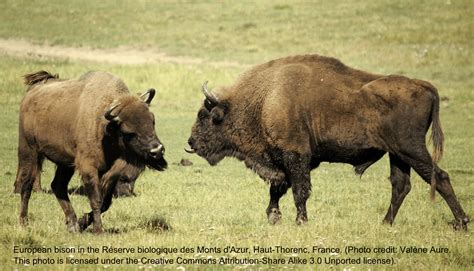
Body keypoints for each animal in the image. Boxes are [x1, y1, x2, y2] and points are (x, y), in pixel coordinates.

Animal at [14, 70, 168, 234]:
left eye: (152, 120)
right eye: (129, 132)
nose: (157, 150)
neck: (106, 126)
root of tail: (30, 94)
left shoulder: (110, 173)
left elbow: (106, 202)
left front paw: (82, 223)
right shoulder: (89, 168)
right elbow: (96, 200)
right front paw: (98, 230)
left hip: (65, 163)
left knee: (58, 186)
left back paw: (73, 224)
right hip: (29, 151)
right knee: (27, 185)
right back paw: (24, 223)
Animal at [187, 54, 468, 230]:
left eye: (204, 116)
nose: (191, 142)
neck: (264, 99)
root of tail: (425, 86)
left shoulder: (295, 156)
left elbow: (299, 190)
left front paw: (300, 221)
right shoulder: (287, 161)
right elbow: (279, 188)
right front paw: (274, 217)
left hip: (411, 149)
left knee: (439, 177)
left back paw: (461, 223)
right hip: (397, 154)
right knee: (401, 185)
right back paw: (385, 223)